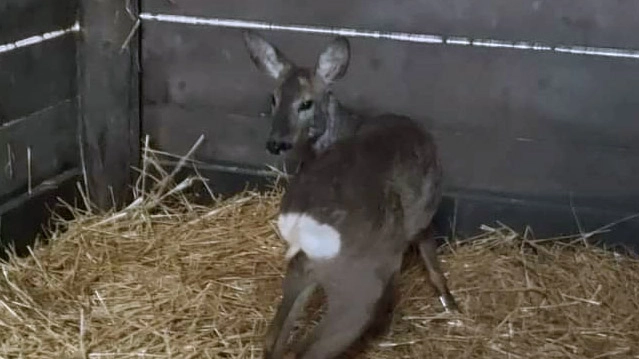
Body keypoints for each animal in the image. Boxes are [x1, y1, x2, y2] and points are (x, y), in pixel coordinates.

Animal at [244, 30, 460, 359]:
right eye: (274, 98)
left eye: (305, 103)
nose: (276, 143)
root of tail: (303, 223)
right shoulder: (422, 215)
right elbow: (430, 257)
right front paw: (450, 303)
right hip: (358, 283)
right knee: (306, 349)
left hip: (303, 268)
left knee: (272, 339)